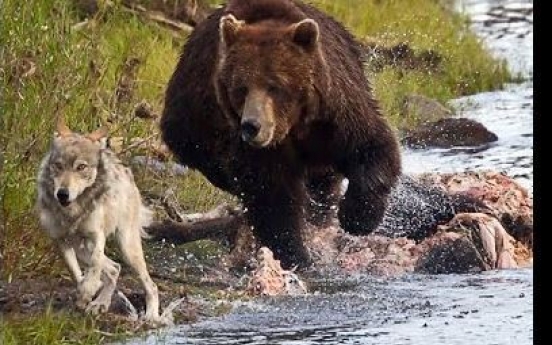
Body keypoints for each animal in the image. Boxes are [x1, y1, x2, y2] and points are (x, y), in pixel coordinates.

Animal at [35, 117, 162, 322]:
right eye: (58, 166)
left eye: (81, 167)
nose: (62, 194)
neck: (72, 211)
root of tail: (125, 169)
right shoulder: (61, 241)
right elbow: (75, 272)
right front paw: (85, 294)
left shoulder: (97, 236)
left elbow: (94, 266)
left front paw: (87, 291)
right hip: (82, 248)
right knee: (114, 268)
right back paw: (100, 303)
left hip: (126, 247)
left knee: (150, 284)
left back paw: (150, 315)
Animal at [160, 0, 402, 268]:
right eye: (240, 88)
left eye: (275, 86)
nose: (251, 126)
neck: (293, 125)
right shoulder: (253, 147)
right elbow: (271, 195)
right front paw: (295, 253)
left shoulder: (335, 112)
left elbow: (370, 145)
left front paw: (357, 217)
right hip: (189, 126)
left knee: (324, 180)